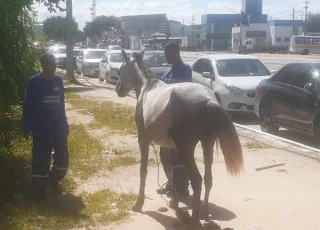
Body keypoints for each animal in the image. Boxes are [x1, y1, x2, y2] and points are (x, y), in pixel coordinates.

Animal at [116, 49, 244, 227]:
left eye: (120, 70)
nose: (117, 88)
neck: (148, 87)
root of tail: (208, 99)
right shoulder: (166, 146)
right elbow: (169, 171)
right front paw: (174, 203)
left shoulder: (143, 140)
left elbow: (144, 171)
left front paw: (139, 203)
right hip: (207, 143)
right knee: (208, 178)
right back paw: (204, 212)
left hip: (186, 150)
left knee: (197, 180)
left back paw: (195, 218)